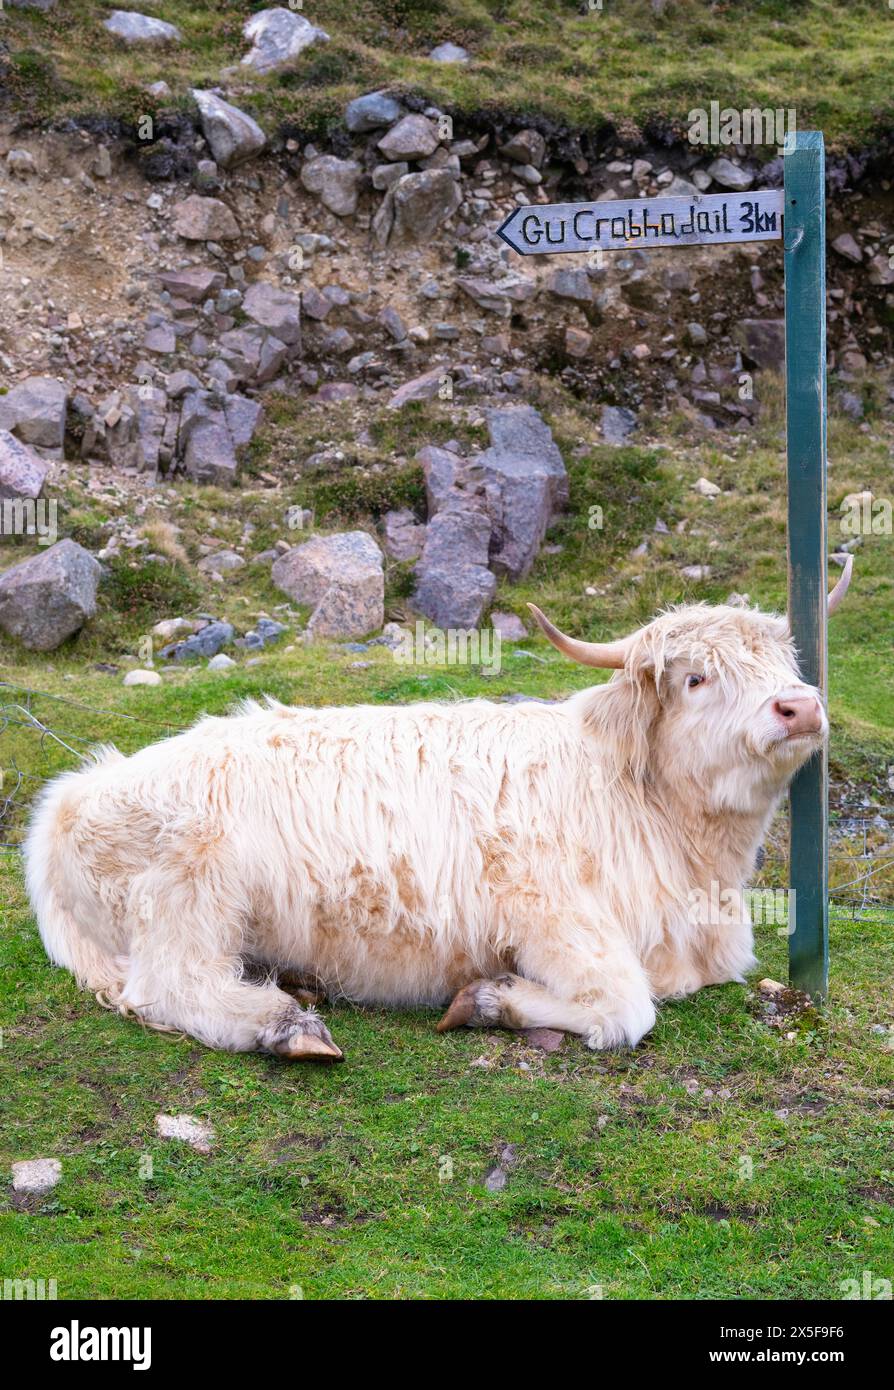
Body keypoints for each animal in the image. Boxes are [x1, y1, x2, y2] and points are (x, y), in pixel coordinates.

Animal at [24, 558, 852, 1062]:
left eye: (785, 661)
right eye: (695, 678)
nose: (799, 706)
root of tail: (73, 795)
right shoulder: (551, 914)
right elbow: (623, 1006)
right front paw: (487, 999)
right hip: (189, 891)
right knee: (170, 985)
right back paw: (284, 1024)